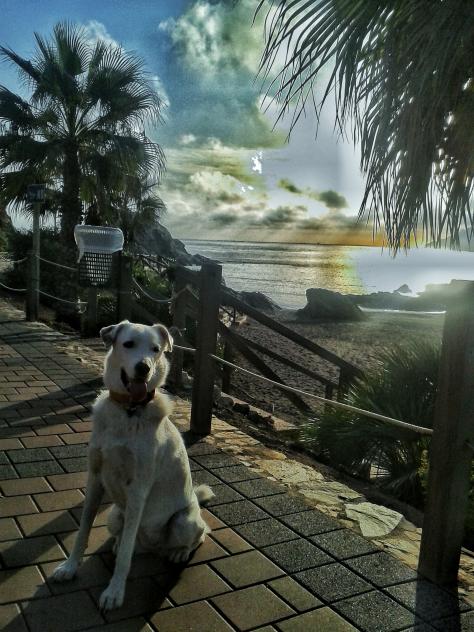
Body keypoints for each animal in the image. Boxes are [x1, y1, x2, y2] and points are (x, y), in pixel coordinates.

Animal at [52, 320, 214, 610]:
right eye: (128, 344)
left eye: (155, 349)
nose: (144, 368)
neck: (129, 410)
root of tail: (153, 547)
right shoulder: (95, 478)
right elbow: (83, 530)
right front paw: (69, 567)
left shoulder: (138, 488)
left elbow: (126, 556)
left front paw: (115, 592)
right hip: (115, 515)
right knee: (126, 539)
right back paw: (119, 545)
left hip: (183, 521)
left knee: (201, 533)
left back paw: (178, 552)